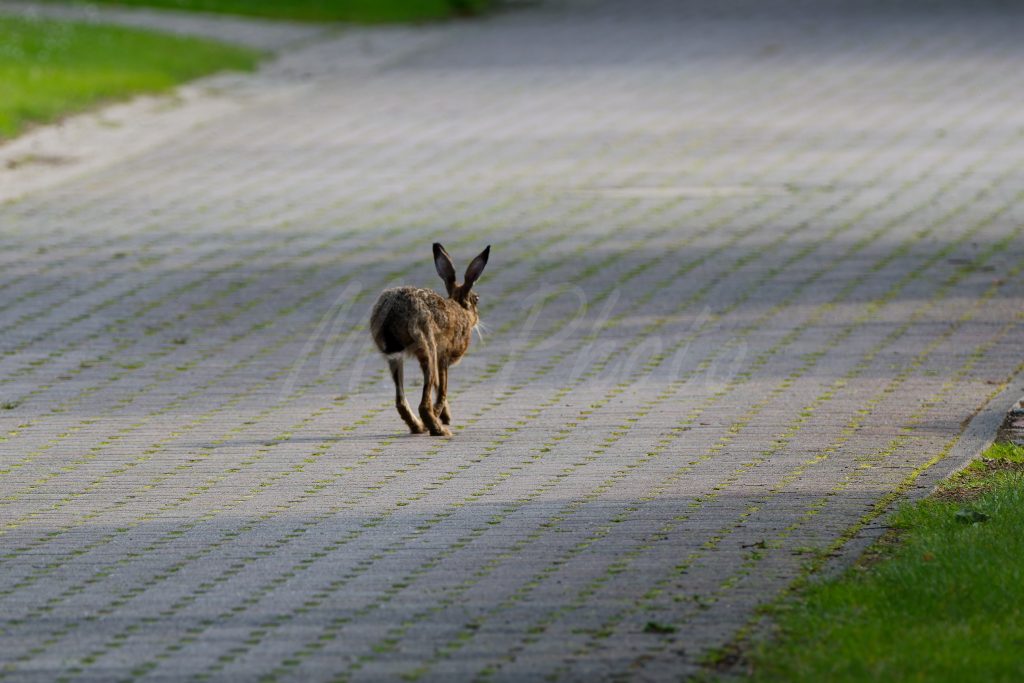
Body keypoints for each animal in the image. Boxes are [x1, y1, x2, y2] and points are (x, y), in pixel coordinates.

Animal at [370, 243, 490, 436]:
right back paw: (438, 430)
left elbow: (439, 387)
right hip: (428, 347)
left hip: (397, 359)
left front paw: (445, 416)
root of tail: (392, 314)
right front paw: (442, 416)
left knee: (400, 401)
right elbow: (442, 389)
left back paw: (419, 427)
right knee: (424, 403)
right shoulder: (443, 357)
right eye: (477, 299)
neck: (460, 308)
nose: (477, 319)